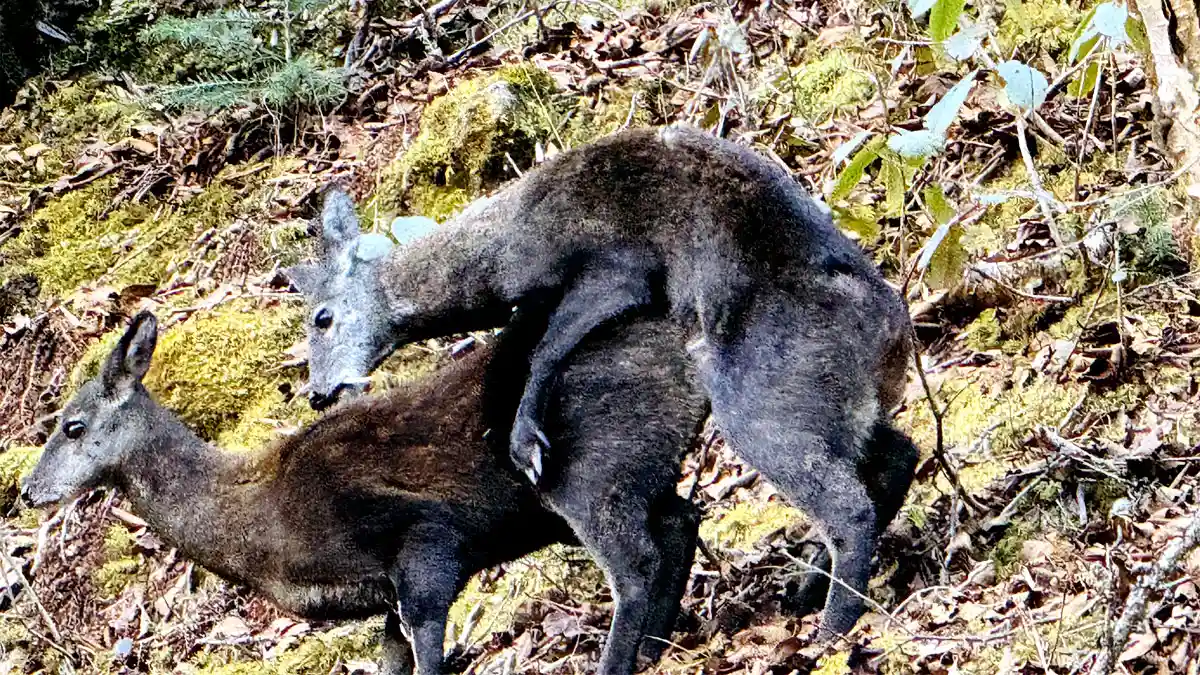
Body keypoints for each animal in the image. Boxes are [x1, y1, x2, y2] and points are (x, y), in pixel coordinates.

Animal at [20, 308, 711, 675]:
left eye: (72, 425)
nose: (27, 491)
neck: (262, 527)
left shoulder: (423, 537)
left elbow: (428, 649)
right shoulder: (379, 596)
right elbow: (393, 658)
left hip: (590, 465)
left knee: (635, 564)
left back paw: (618, 661)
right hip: (632, 465)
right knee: (683, 518)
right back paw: (658, 647)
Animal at [283, 123, 920, 641]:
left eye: (322, 317)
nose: (318, 393)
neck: (498, 255)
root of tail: (894, 330)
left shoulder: (612, 264)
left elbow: (547, 345)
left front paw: (525, 441)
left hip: (765, 396)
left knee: (847, 506)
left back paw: (831, 630)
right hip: (836, 401)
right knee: (899, 454)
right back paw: (811, 590)